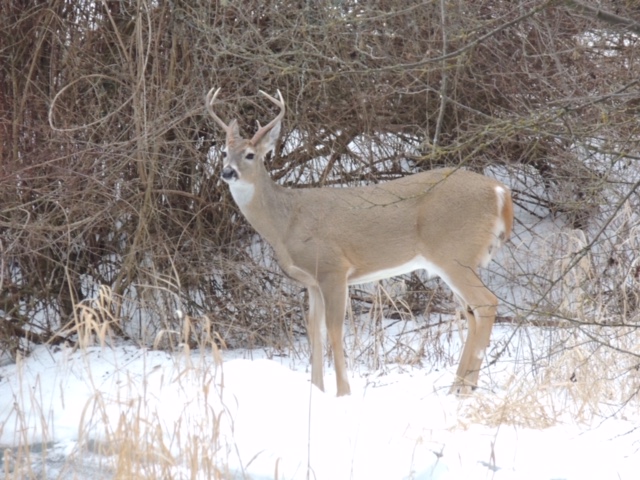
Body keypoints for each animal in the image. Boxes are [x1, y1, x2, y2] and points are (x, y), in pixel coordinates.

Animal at [208, 88, 512, 396]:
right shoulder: (312, 281)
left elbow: (334, 329)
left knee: (486, 304)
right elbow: (314, 331)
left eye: (250, 154)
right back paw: (456, 389)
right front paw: (317, 390)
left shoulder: (333, 268)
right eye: (224, 152)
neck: (286, 222)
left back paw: (465, 390)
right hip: (453, 261)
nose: (227, 172)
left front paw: (343, 392)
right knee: (471, 314)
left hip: (454, 254)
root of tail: (501, 191)